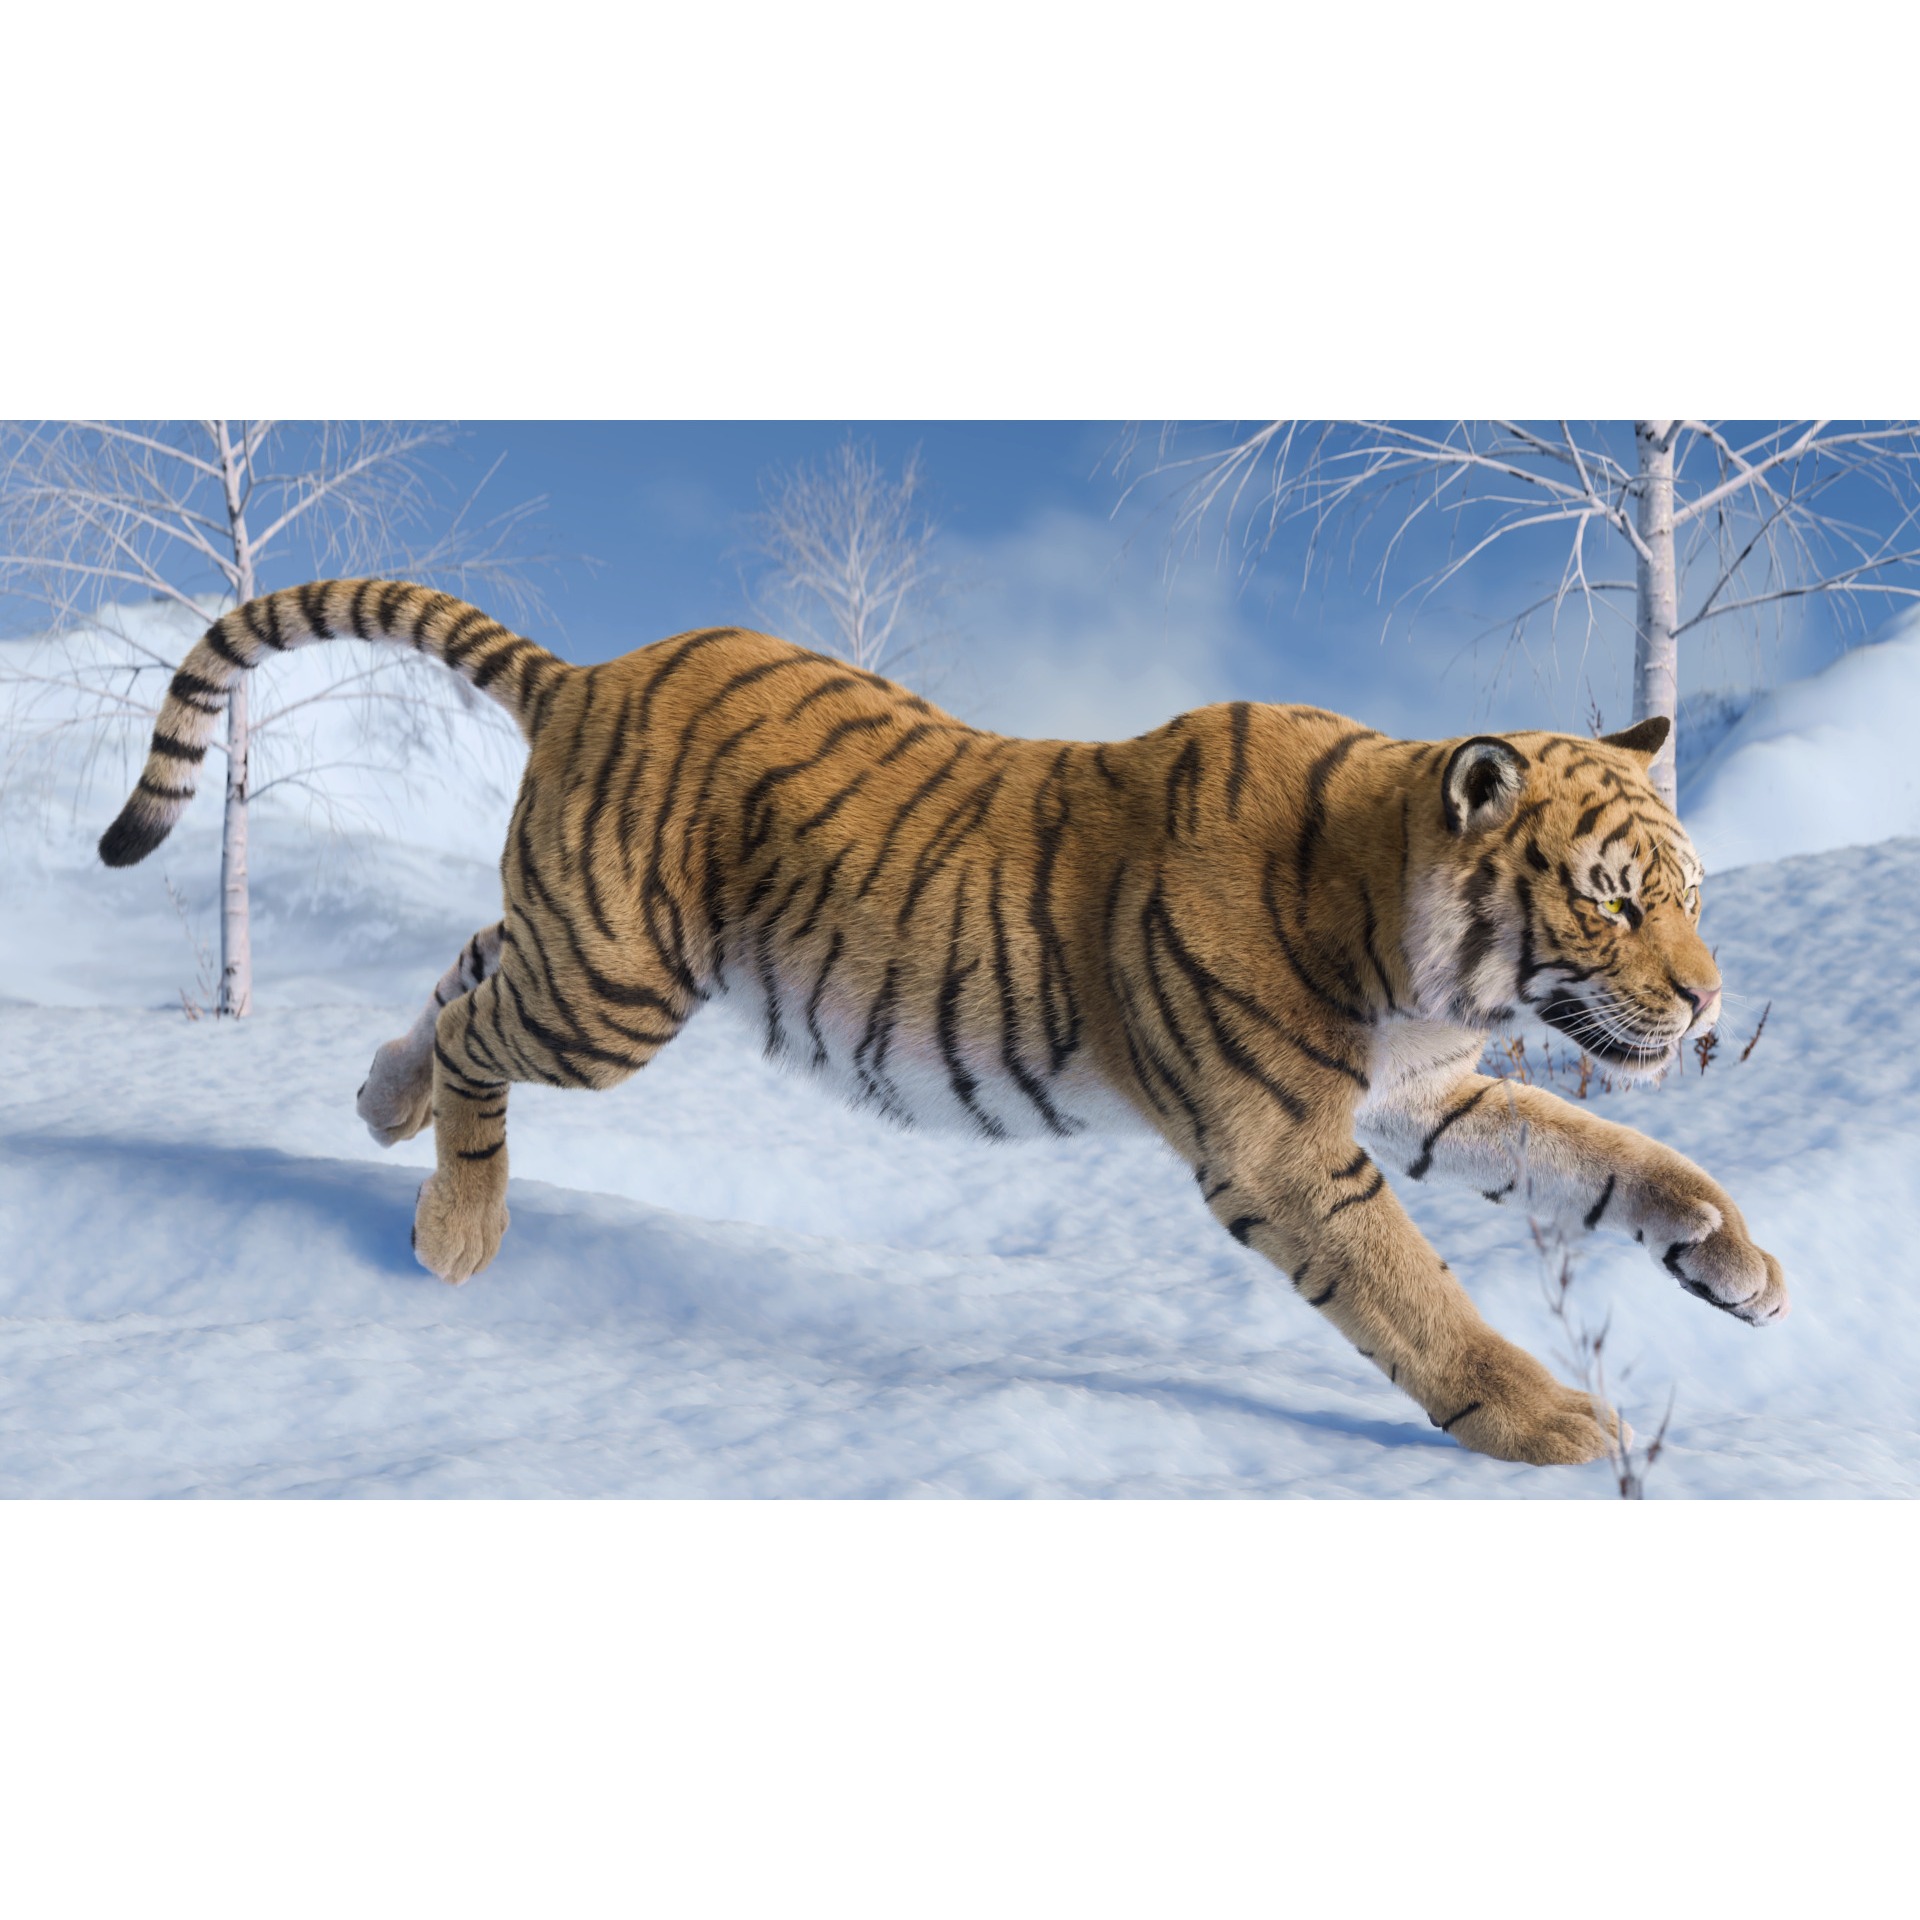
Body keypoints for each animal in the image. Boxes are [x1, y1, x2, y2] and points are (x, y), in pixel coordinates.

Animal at [98, 579, 1789, 1467]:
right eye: (1615, 902)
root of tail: (591, 671)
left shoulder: (1422, 1096)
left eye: (1687, 896)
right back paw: (455, 1229)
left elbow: (1601, 1156)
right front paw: (1549, 1422)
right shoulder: (1285, 1146)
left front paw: (1736, 1263)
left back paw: (376, 1103)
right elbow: (1412, 1288)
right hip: (614, 992)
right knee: (477, 1036)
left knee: (463, 975)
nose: (1709, 997)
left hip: (575, 949)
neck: (1414, 941)